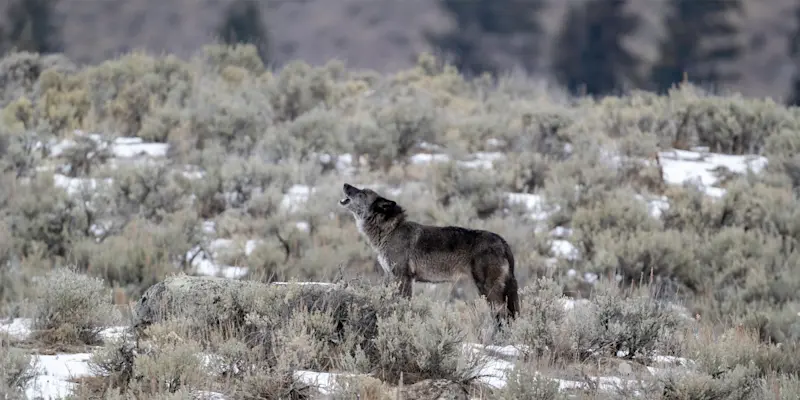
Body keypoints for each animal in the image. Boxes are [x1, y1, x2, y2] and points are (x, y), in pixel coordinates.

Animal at [338, 183, 520, 322]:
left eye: (361, 193)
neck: (390, 231)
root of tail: (503, 242)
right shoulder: (392, 278)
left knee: (504, 316)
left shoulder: (404, 278)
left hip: (488, 289)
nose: (345, 184)